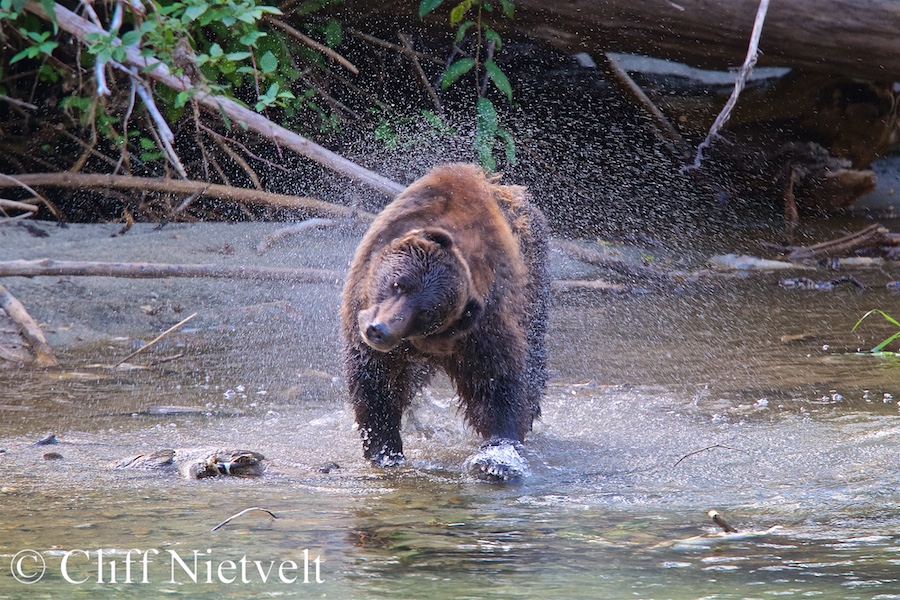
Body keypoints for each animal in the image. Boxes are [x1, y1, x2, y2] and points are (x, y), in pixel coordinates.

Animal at [340, 163, 549, 482]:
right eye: (398, 283)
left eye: (427, 312)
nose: (379, 331)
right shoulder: (362, 314)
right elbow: (375, 382)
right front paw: (384, 450)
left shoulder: (482, 327)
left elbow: (496, 383)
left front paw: (496, 459)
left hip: (534, 287)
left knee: (534, 357)